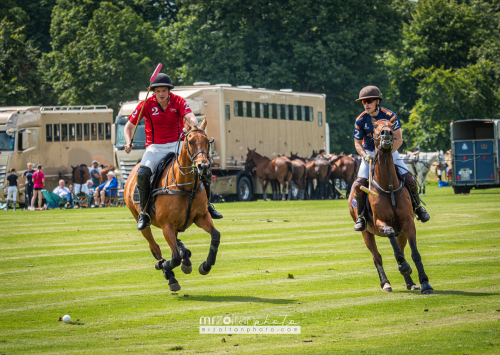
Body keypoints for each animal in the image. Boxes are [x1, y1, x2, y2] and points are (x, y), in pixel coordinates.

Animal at [123, 119, 221, 292]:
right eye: (190, 141)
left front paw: (206, 266)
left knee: (177, 243)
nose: (203, 166)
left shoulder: (201, 217)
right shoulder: (166, 225)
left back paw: (185, 257)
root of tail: (134, 169)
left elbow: (215, 236)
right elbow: (173, 258)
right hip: (140, 218)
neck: (185, 187)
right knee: (155, 247)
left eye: (207, 141)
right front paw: (164, 267)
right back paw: (170, 275)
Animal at [348, 116, 434, 294]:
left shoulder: (407, 223)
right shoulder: (380, 223)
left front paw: (424, 282)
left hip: (401, 232)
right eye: (374, 126)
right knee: (376, 256)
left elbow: (414, 253)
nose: (386, 133)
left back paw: (410, 282)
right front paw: (403, 267)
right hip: (366, 232)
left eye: (392, 125)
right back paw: (386, 283)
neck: (389, 187)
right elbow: (389, 233)